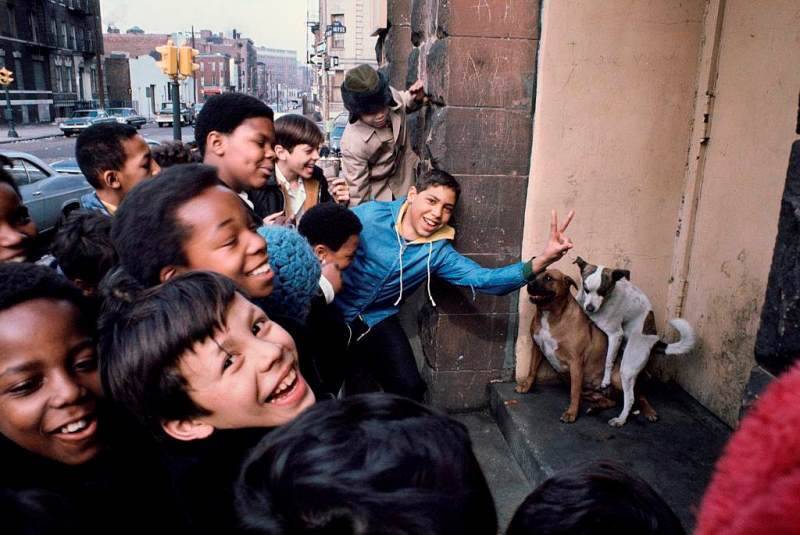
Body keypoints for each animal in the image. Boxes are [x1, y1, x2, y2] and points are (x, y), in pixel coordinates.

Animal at [520, 270, 656, 426]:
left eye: (549, 278)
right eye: (533, 276)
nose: (529, 285)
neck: (549, 314)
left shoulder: (576, 362)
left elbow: (574, 392)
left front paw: (571, 413)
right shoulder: (536, 347)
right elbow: (532, 370)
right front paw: (526, 386)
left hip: (618, 378)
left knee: (639, 396)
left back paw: (649, 412)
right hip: (588, 391)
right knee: (610, 401)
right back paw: (595, 408)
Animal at [572, 258, 696, 430]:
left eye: (602, 291)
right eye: (586, 288)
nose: (590, 308)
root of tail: (654, 339)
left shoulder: (615, 334)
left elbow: (608, 361)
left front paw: (605, 381)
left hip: (627, 368)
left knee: (630, 398)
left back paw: (621, 419)